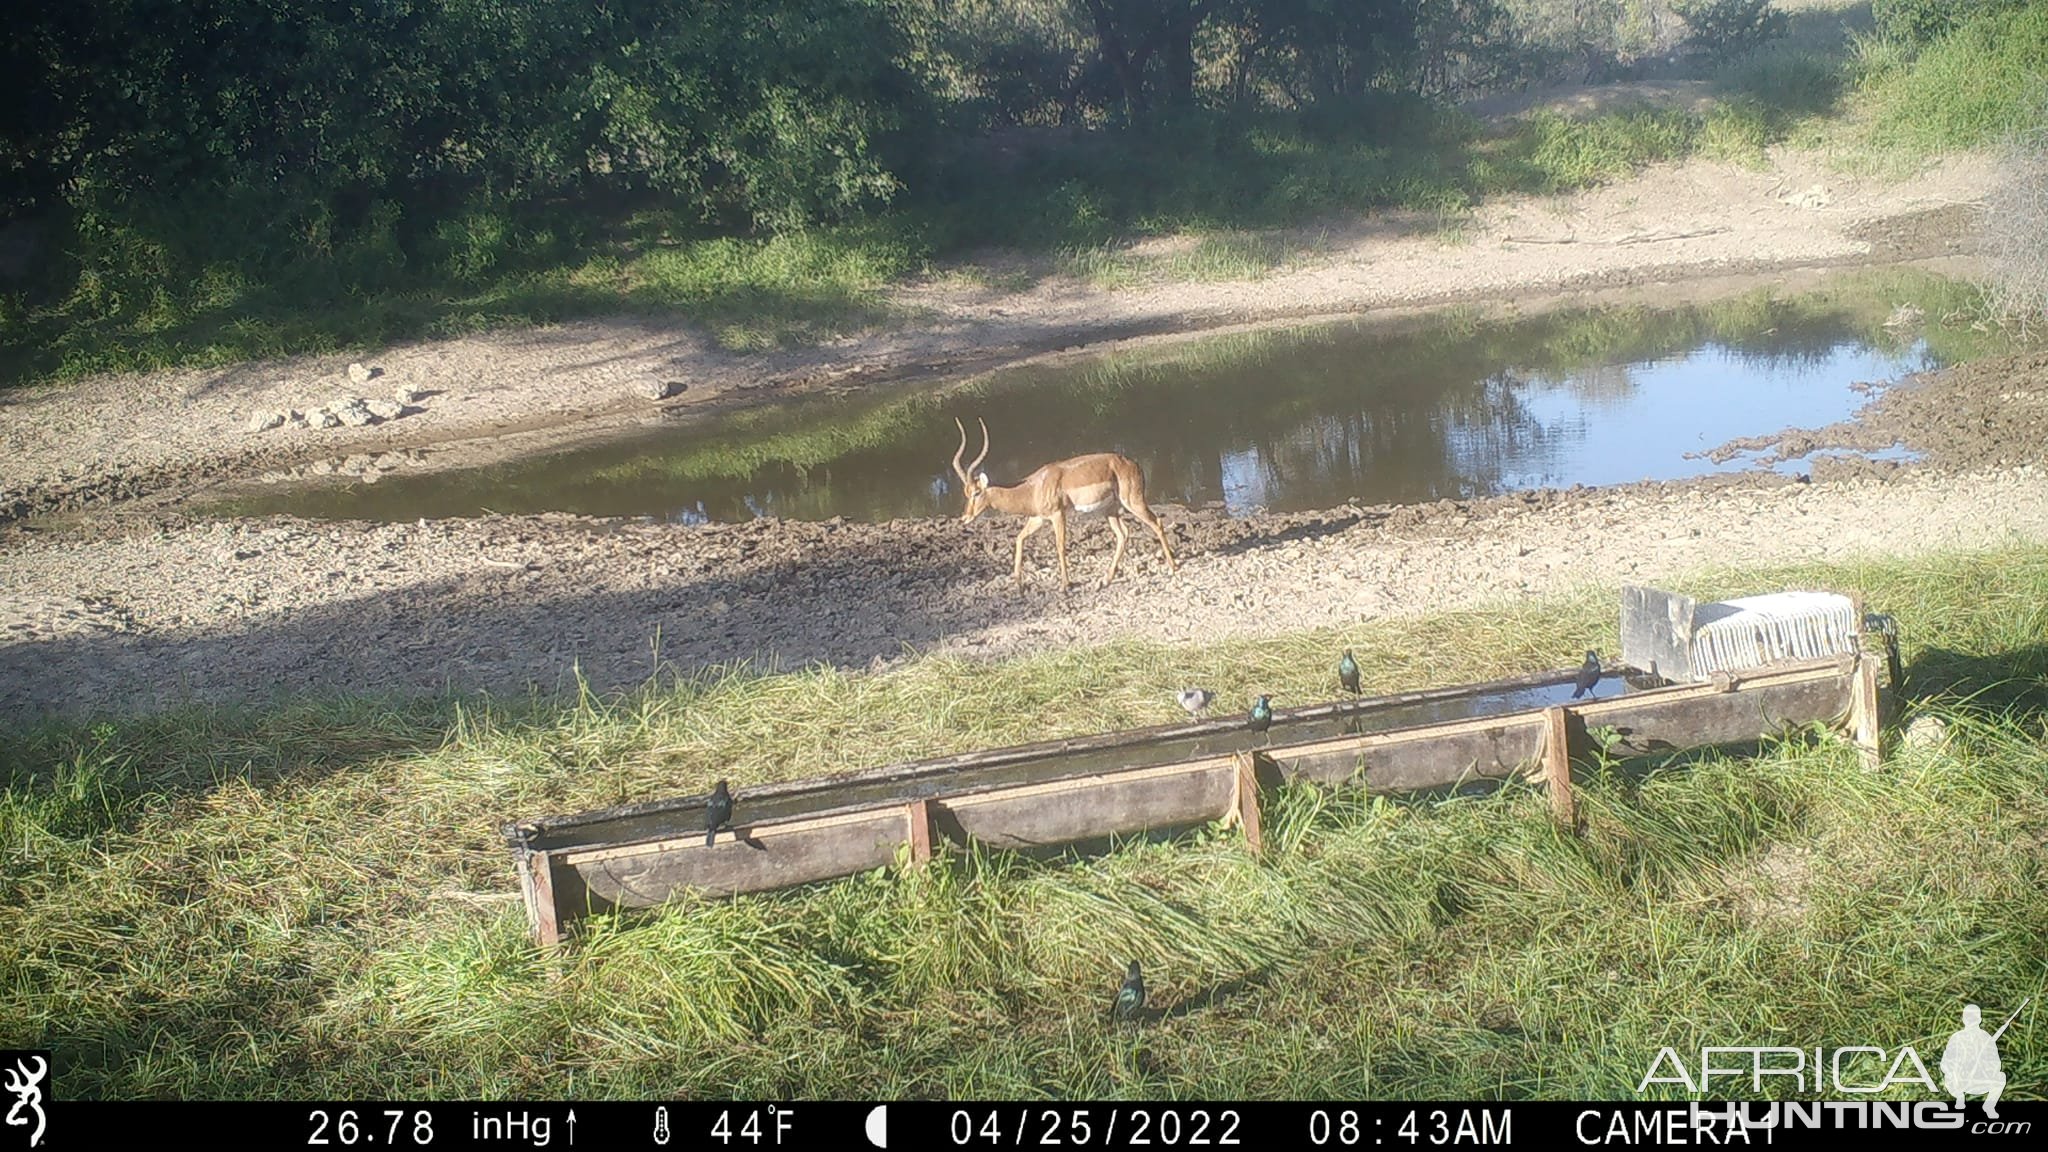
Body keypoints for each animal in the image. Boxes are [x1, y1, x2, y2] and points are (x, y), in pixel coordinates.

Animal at [950, 414, 1179, 590]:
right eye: (965, 492)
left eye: (976, 492)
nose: (964, 518)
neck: (1032, 488)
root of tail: (1134, 464)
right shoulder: (1038, 518)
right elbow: (1019, 538)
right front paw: (1018, 583)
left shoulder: (1057, 515)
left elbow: (1060, 545)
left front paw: (1065, 585)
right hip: (1110, 510)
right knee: (1123, 534)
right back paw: (1106, 579)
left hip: (1132, 501)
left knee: (1157, 523)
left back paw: (1172, 567)